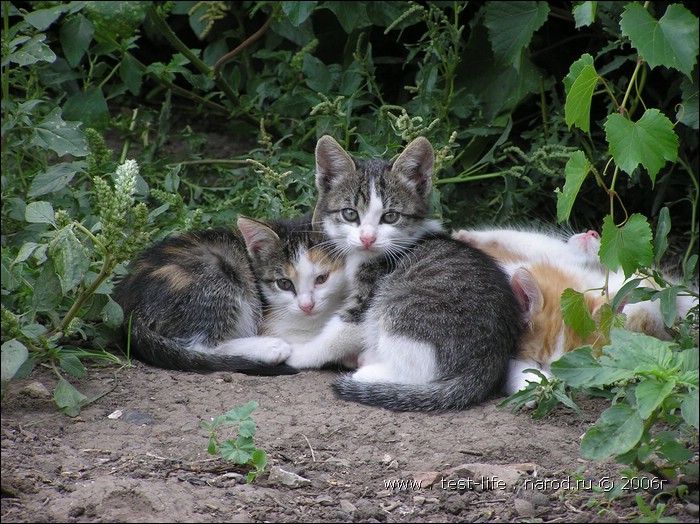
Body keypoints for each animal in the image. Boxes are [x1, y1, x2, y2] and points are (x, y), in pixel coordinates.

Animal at [115, 215, 348, 374]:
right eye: (284, 283)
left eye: (321, 278)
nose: (307, 306)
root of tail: (130, 307)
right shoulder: (272, 319)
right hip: (216, 274)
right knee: (202, 345)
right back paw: (268, 348)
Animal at [282, 135, 524, 410]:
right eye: (350, 213)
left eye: (390, 217)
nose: (367, 238)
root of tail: (488, 363)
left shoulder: (369, 294)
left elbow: (340, 332)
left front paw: (297, 353)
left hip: (403, 306)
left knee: (418, 371)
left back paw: (369, 373)